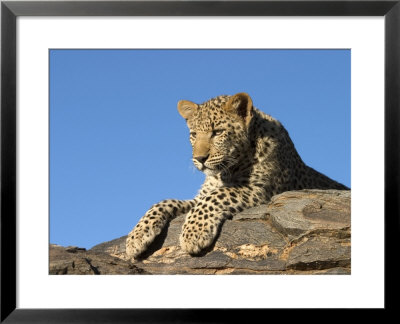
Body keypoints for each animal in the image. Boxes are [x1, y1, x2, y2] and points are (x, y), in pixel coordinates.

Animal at [125, 93, 346, 258]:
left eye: (217, 132)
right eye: (194, 135)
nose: (199, 158)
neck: (226, 170)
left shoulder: (262, 191)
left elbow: (216, 196)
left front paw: (193, 233)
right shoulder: (198, 197)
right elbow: (165, 201)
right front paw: (136, 237)